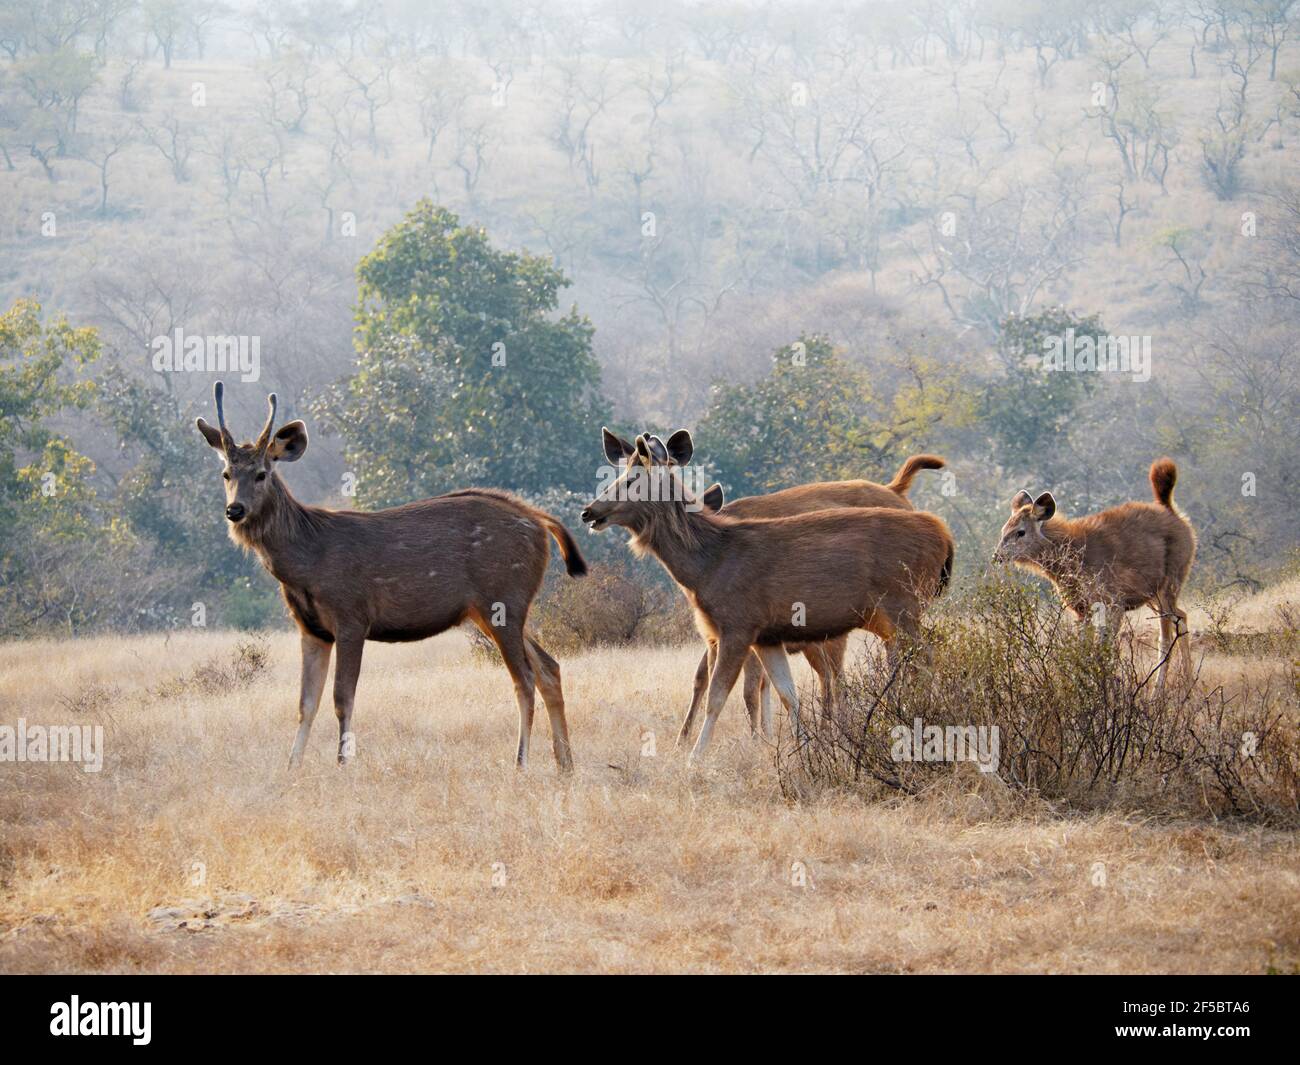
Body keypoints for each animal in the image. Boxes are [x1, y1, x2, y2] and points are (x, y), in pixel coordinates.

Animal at [195, 382, 587, 775]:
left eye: (262, 473)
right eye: (226, 474)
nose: (235, 510)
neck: (306, 562)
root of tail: (539, 521)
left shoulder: (351, 616)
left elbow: (342, 697)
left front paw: (342, 763)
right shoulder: (311, 628)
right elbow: (305, 703)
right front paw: (293, 767)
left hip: (503, 599)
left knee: (525, 678)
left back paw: (521, 762)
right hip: (495, 610)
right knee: (549, 667)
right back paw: (565, 763)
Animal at [582, 434, 956, 759]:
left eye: (632, 479)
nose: (589, 511)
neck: (707, 566)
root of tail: (944, 536)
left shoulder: (738, 624)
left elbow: (718, 695)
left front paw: (695, 757)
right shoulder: (767, 636)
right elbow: (787, 694)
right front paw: (803, 750)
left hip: (903, 605)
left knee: (926, 657)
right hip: (891, 616)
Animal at [993, 457, 1196, 691]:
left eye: (1021, 532)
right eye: (1003, 530)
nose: (997, 556)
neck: (1070, 563)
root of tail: (1173, 511)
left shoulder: (1113, 601)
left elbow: (1103, 650)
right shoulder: (1081, 609)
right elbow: (1083, 650)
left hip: (1170, 582)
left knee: (1167, 634)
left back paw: (1162, 691)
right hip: (1153, 594)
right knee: (1182, 616)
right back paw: (1185, 682)